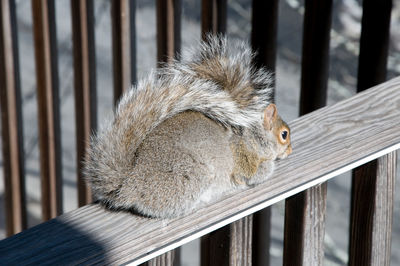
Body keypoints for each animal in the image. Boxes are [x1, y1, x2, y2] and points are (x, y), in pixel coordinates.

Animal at [84, 35, 292, 218]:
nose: (290, 151)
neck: (252, 135)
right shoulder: (244, 158)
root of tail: (130, 184)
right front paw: (269, 165)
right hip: (192, 175)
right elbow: (254, 173)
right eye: (284, 134)